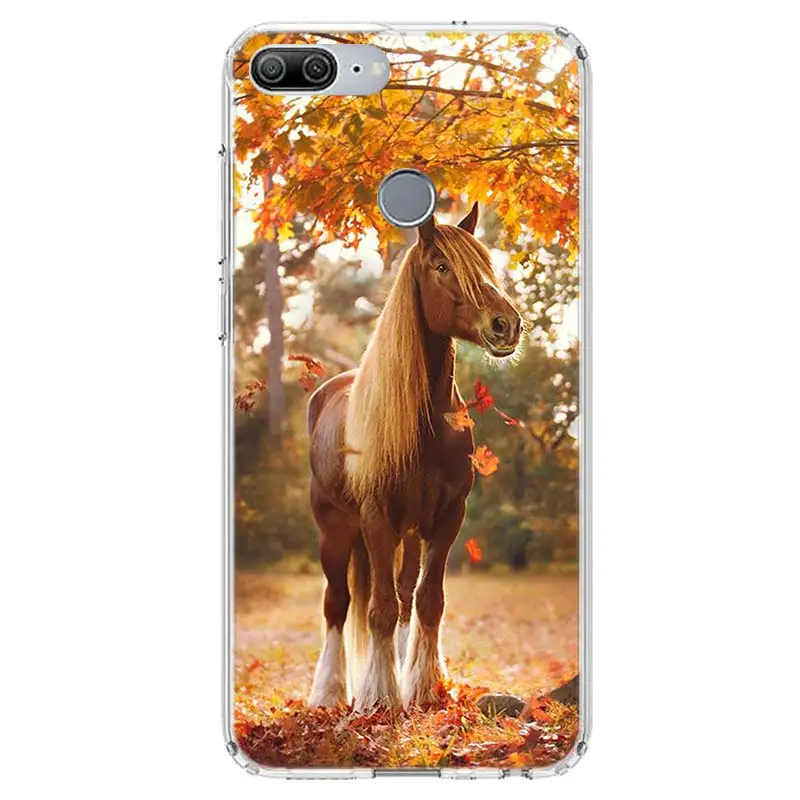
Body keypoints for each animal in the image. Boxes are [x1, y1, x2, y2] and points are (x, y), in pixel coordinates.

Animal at [306, 202, 522, 712]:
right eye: (442, 267)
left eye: (486, 264)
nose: (506, 324)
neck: (426, 426)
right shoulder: (376, 517)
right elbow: (379, 609)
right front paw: (379, 699)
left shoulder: (446, 518)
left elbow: (427, 601)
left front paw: (422, 688)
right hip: (335, 529)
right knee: (337, 604)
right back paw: (328, 693)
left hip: (407, 532)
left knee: (404, 596)